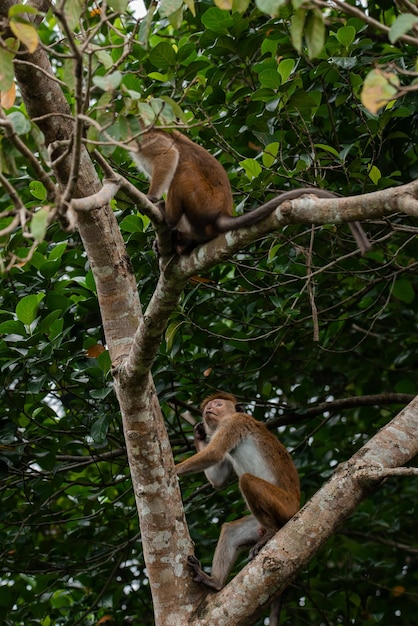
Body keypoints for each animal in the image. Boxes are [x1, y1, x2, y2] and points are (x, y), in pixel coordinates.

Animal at [131, 128, 372, 255]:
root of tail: (222, 213)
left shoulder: (149, 139)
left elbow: (169, 155)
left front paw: (152, 198)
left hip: (203, 201)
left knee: (182, 168)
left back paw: (170, 219)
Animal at [174, 390, 300, 588]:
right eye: (209, 406)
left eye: (218, 404)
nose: (209, 409)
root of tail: (297, 504)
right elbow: (219, 480)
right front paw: (199, 433)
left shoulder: (234, 423)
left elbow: (214, 453)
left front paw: (172, 469)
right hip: (256, 524)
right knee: (230, 531)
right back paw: (214, 582)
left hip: (285, 506)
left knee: (247, 481)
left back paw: (271, 531)